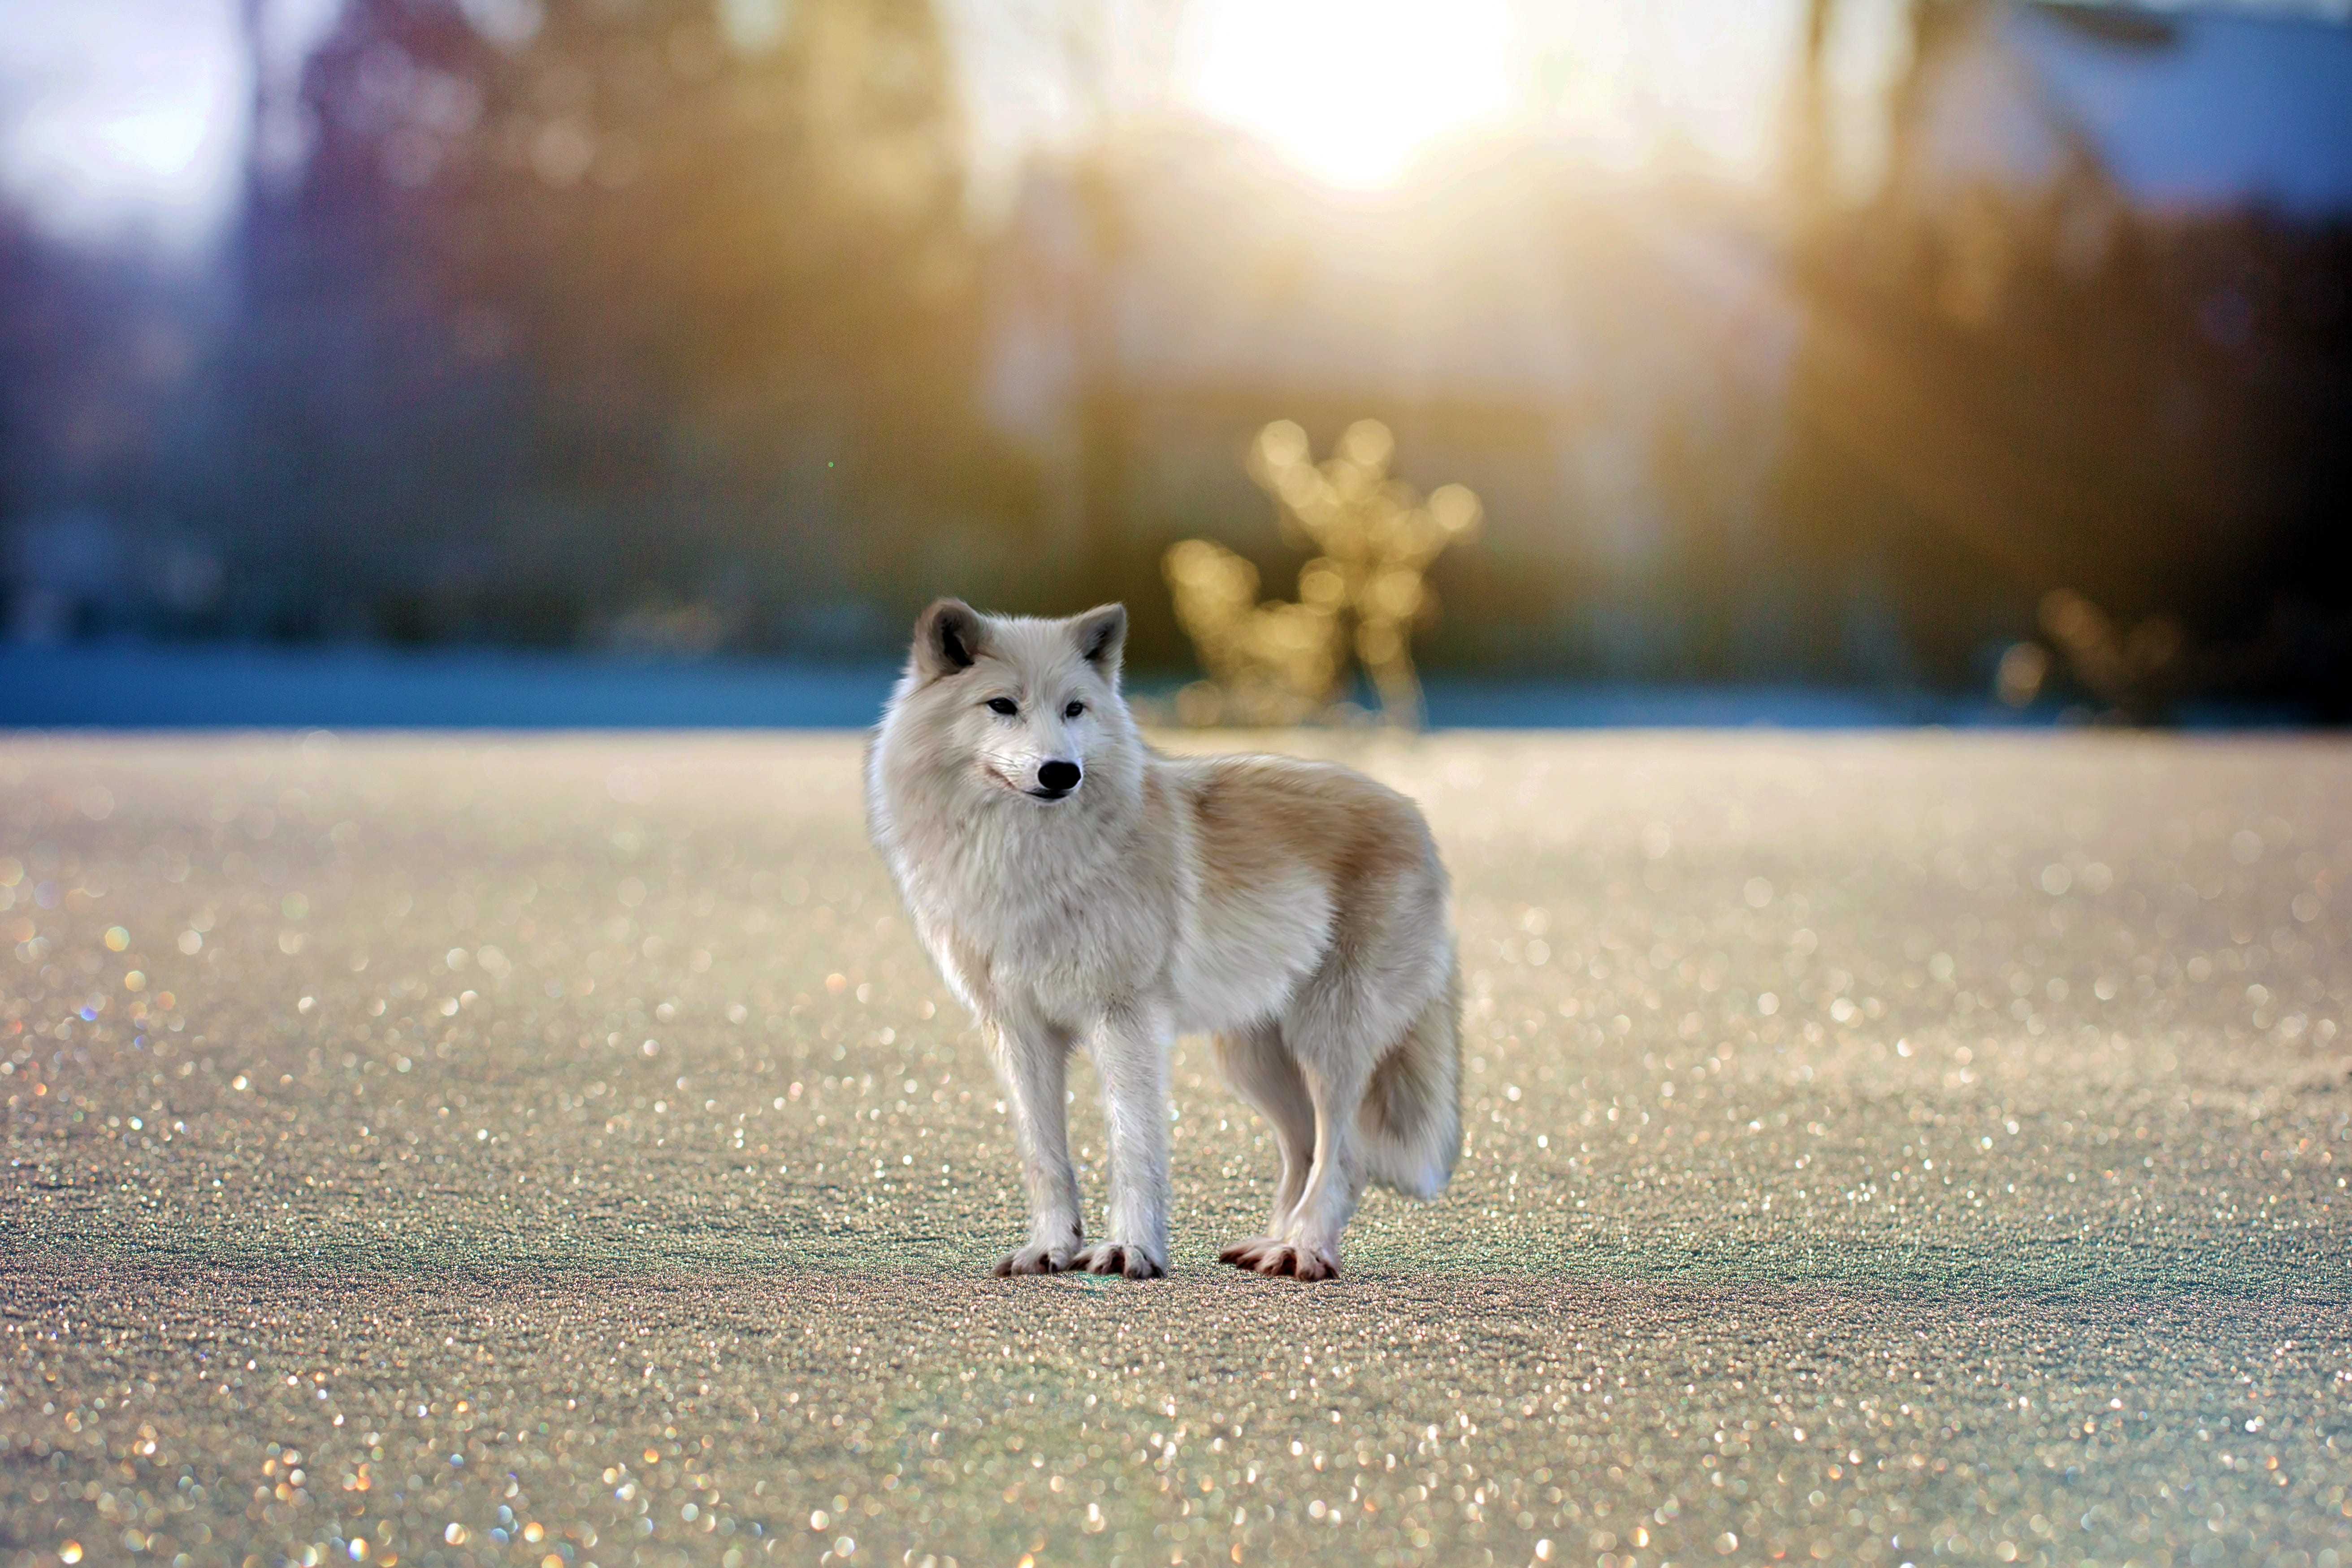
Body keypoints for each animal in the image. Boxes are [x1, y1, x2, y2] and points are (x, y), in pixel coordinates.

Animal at [865, 598, 1461, 1280]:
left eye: (1075, 709)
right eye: (1002, 705)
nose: (1061, 772)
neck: (1025, 862)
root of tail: (1413, 814)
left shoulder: (1125, 1020)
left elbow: (1133, 1147)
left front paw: (1131, 1250)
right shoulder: (1018, 1030)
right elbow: (1045, 1156)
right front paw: (1051, 1249)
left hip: (1328, 1044)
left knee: (1344, 1153)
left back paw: (1303, 1250)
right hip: (1253, 1060)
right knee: (1304, 1148)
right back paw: (1269, 1245)